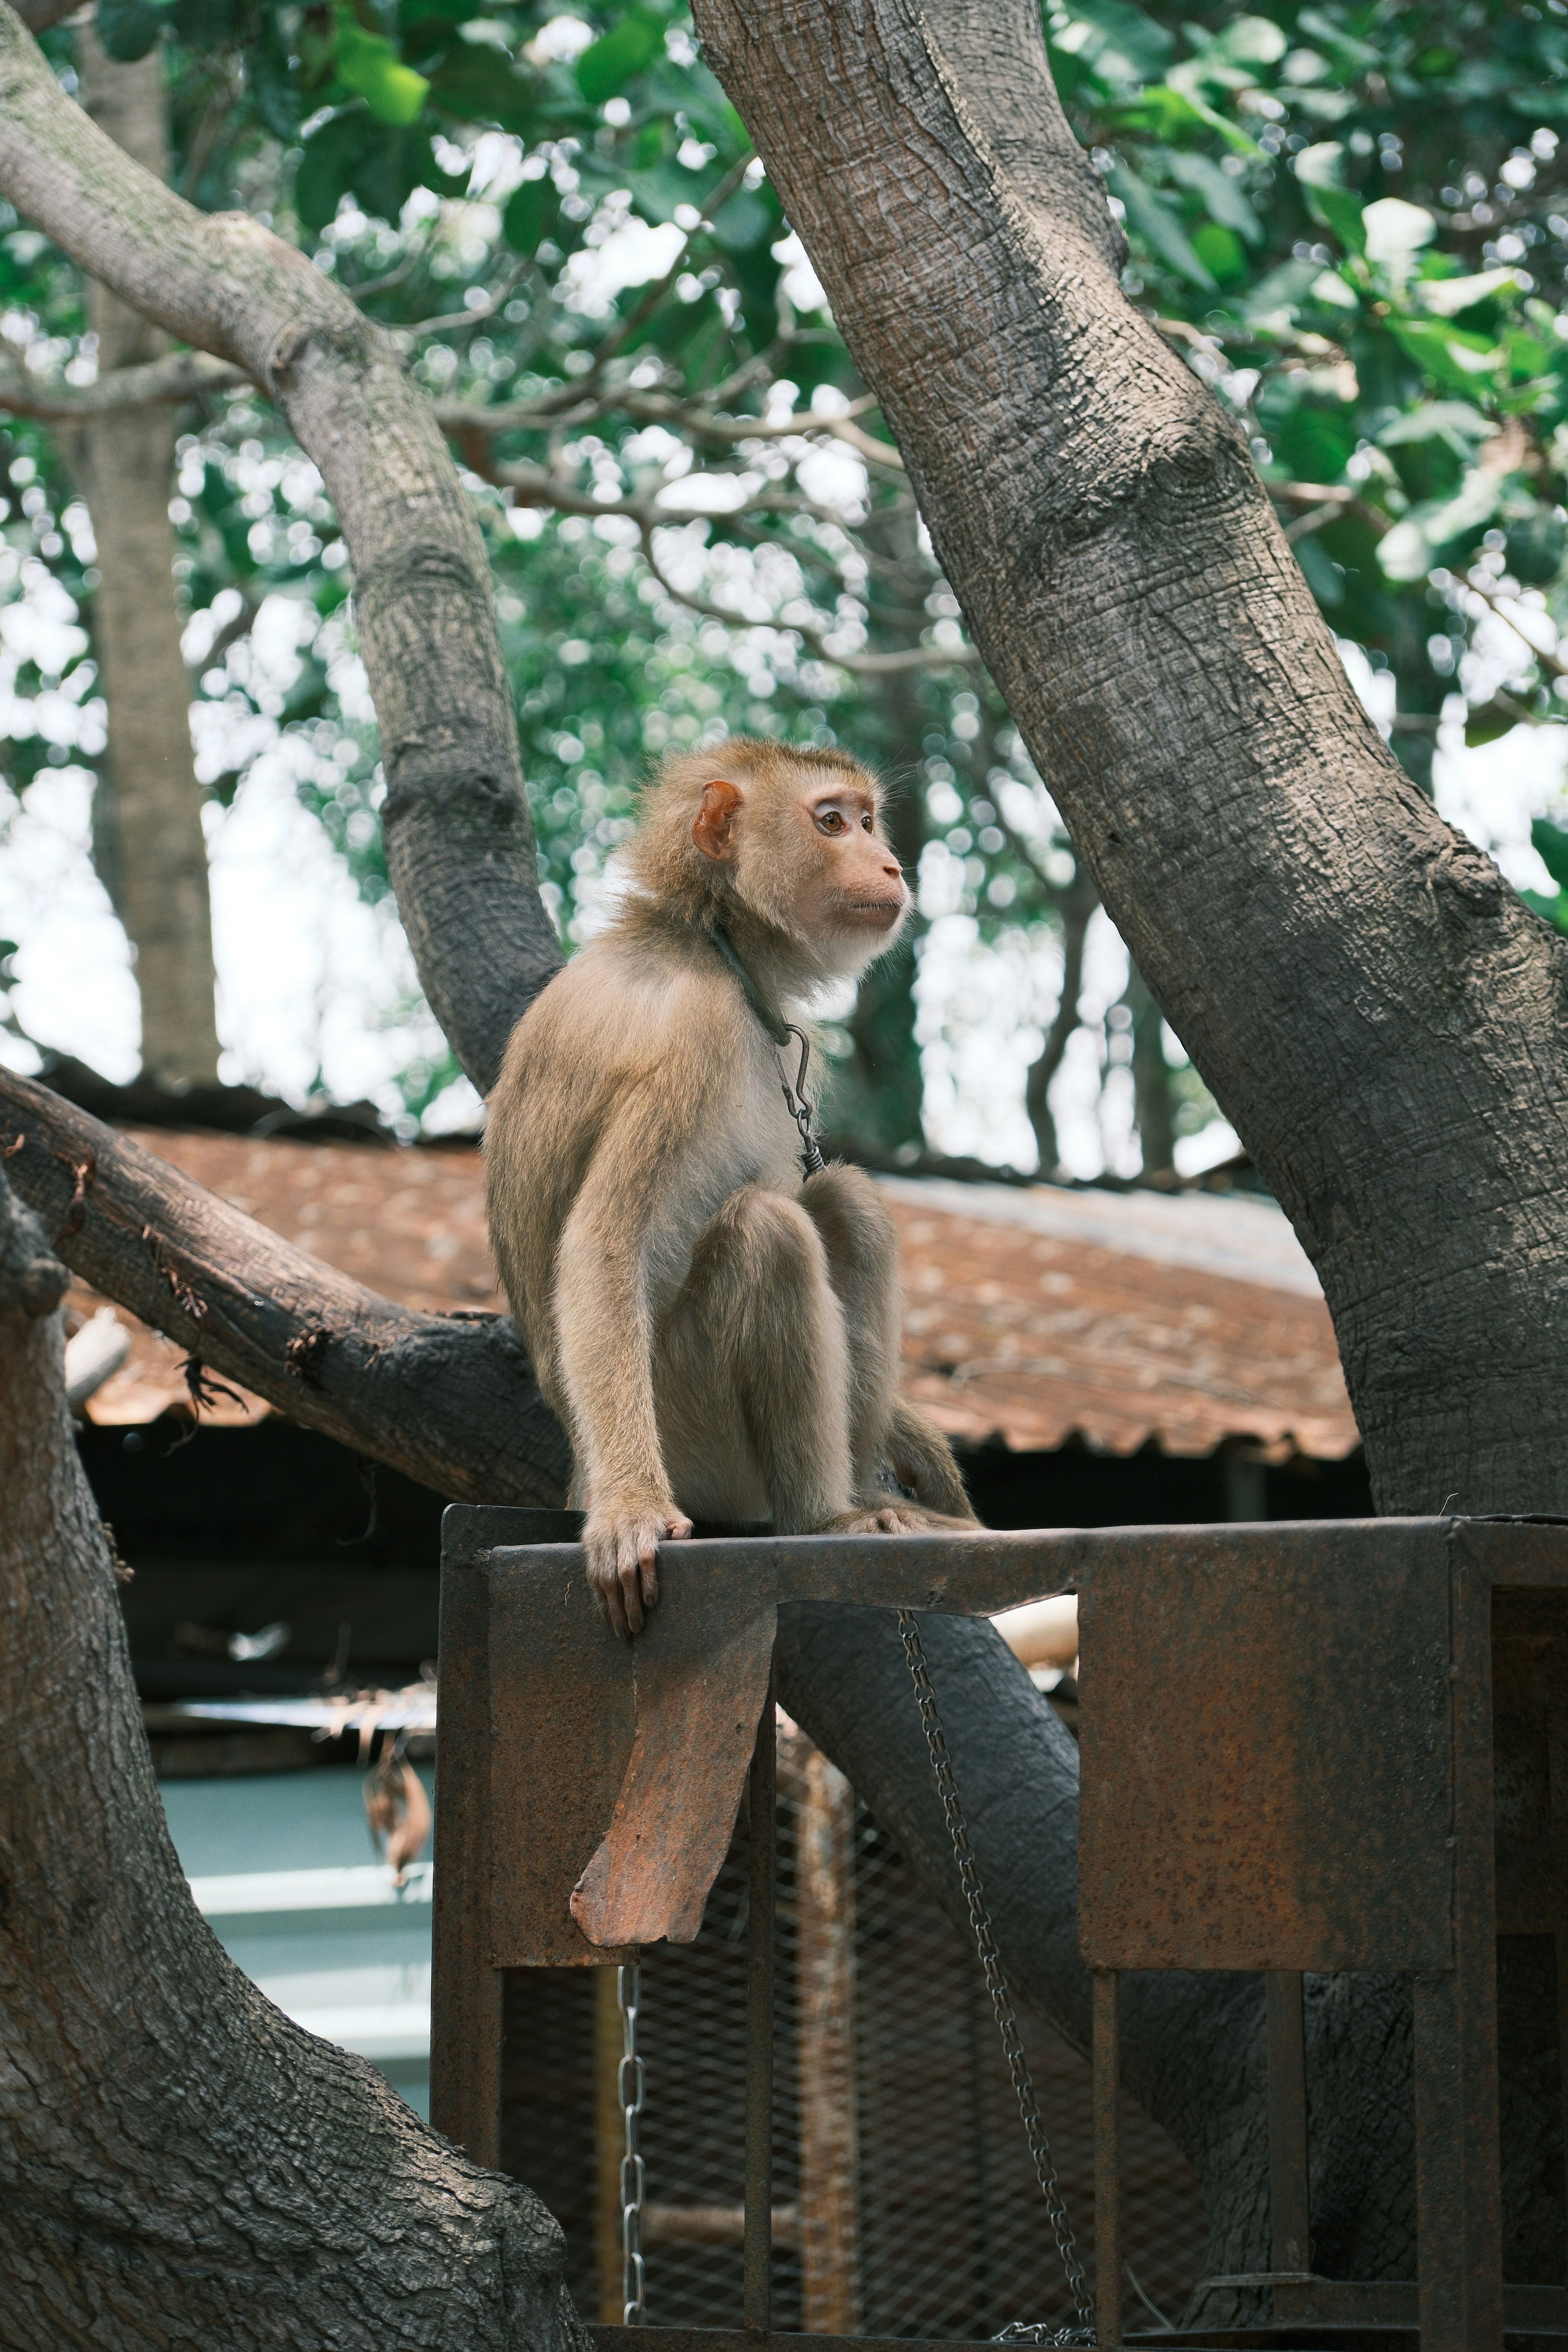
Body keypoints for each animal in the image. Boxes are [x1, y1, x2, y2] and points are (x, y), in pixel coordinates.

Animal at [486, 734, 979, 1635]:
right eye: (832, 823)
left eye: (867, 821)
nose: (891, 864)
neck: (707, 936)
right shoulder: (689, 1040)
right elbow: (607, 1249)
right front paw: (632, 1515)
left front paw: (915, 1438)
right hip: (694, 1440)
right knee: (767, 1231)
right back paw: (822, 1518)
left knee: (842, 1206)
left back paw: (870, 1496)